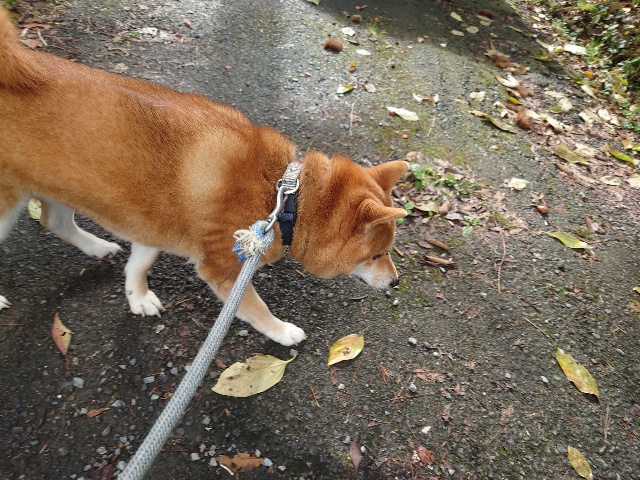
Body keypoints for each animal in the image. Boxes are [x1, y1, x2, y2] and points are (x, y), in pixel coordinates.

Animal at [0, 8, 408, 346]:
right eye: (377, 254)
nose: (396, 282)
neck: (285, 195)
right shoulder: (224, 268)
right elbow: (255, 310)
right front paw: (282, 331)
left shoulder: (152, 223)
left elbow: (139, 263)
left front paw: (137, 295)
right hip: (6, 207)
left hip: (58, 186)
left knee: (55, 222)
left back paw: (97, 247)